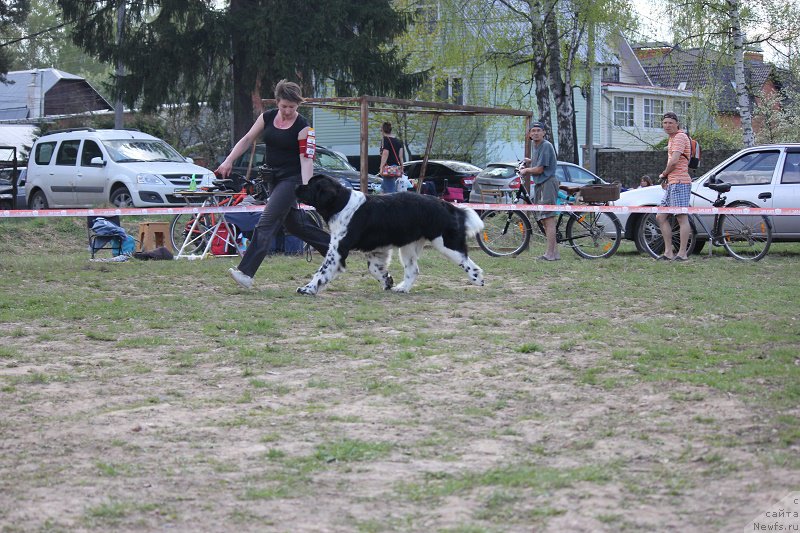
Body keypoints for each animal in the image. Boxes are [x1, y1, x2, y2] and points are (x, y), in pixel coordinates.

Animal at [294, 177, 482, 298]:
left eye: (310, 185)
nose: (296, 186)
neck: (341, 203)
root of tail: (446, 204)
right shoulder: (375, 249)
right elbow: (375, 268)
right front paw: (388, 281)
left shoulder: (338, 248)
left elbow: (323, 270)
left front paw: (308, 289)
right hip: (408, 246)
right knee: (413, 269)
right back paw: (402, 288)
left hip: (445, 243)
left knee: (467, 262)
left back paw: (477, 280)